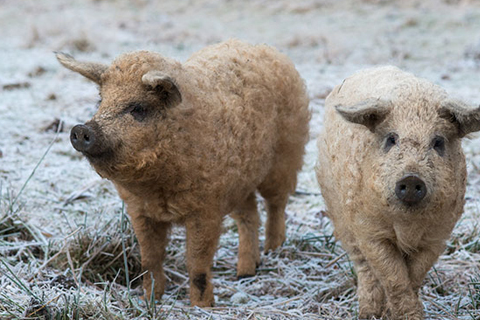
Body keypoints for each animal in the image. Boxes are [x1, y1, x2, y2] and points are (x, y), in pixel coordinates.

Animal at [56, 40, 312, 308]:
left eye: (138, 108)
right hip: (240, 181)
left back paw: (273, 250)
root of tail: (263, 47)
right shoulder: (139, 210)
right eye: (101, 101)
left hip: (287, 155)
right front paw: (149, 300)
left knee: (276, 204)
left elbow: (197, 263)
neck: (157, 187)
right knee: (249, 216)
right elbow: (149, 258)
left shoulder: (206, 208)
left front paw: (201, 307)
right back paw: (245, 273)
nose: (80, 129)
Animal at [316, 66, 480, 318]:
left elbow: (413, 275)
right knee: (364, 267)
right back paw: (367, 313)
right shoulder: (369, 231)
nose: (411, 178)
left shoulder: (438, 235)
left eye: (438, 142)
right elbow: (393, 276)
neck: (407, 226)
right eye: (392, 139)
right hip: (338, 214)